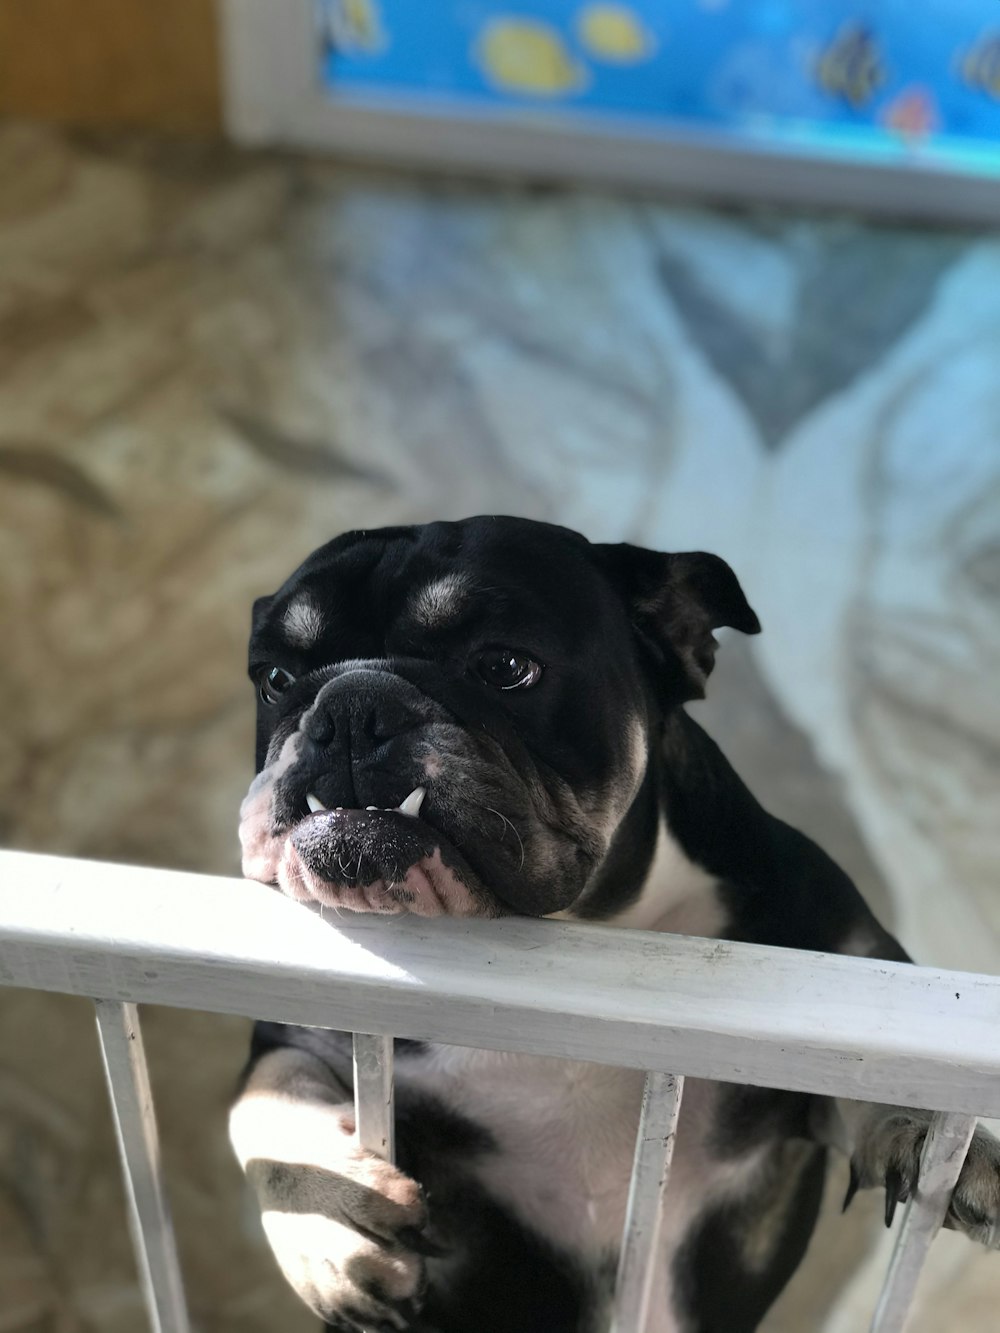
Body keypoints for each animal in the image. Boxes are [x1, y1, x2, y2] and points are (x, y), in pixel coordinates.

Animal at [229, 517, 1000, 1333]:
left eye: (506, 666)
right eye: (274, 679)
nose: (350, 705)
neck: (583, 926)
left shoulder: (835, 986)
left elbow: (889, 1049)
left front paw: (927, 1129)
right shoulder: (299, 1032)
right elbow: (265, 1097)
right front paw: (332, 1228)